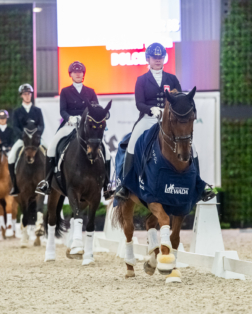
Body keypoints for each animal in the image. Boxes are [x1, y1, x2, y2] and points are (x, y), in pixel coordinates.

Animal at [44, 102, 111, 264]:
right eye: (88, 124)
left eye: (103, 125)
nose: (93, 152)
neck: (86, 162)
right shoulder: (73, 191)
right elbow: (79, 217)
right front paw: (77, 248)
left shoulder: (95, 195)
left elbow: (90, 223)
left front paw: (87, 256)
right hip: (54, 192)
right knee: (52, 220)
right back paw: (50, 255)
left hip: (83, 199)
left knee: (75, 216)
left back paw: (70, 248)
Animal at [112, 87, 213, 284]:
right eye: (173, 119)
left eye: (192, 118)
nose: (184, 155)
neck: (176, 167)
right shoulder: (152, 197)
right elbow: (165, 221)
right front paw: (165, 261)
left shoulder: (182, 204)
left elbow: (174, 237)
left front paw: (172, 270)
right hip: (129, 200)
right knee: (129, 230)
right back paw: (131, 267)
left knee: (149, 222)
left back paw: (151, 260)